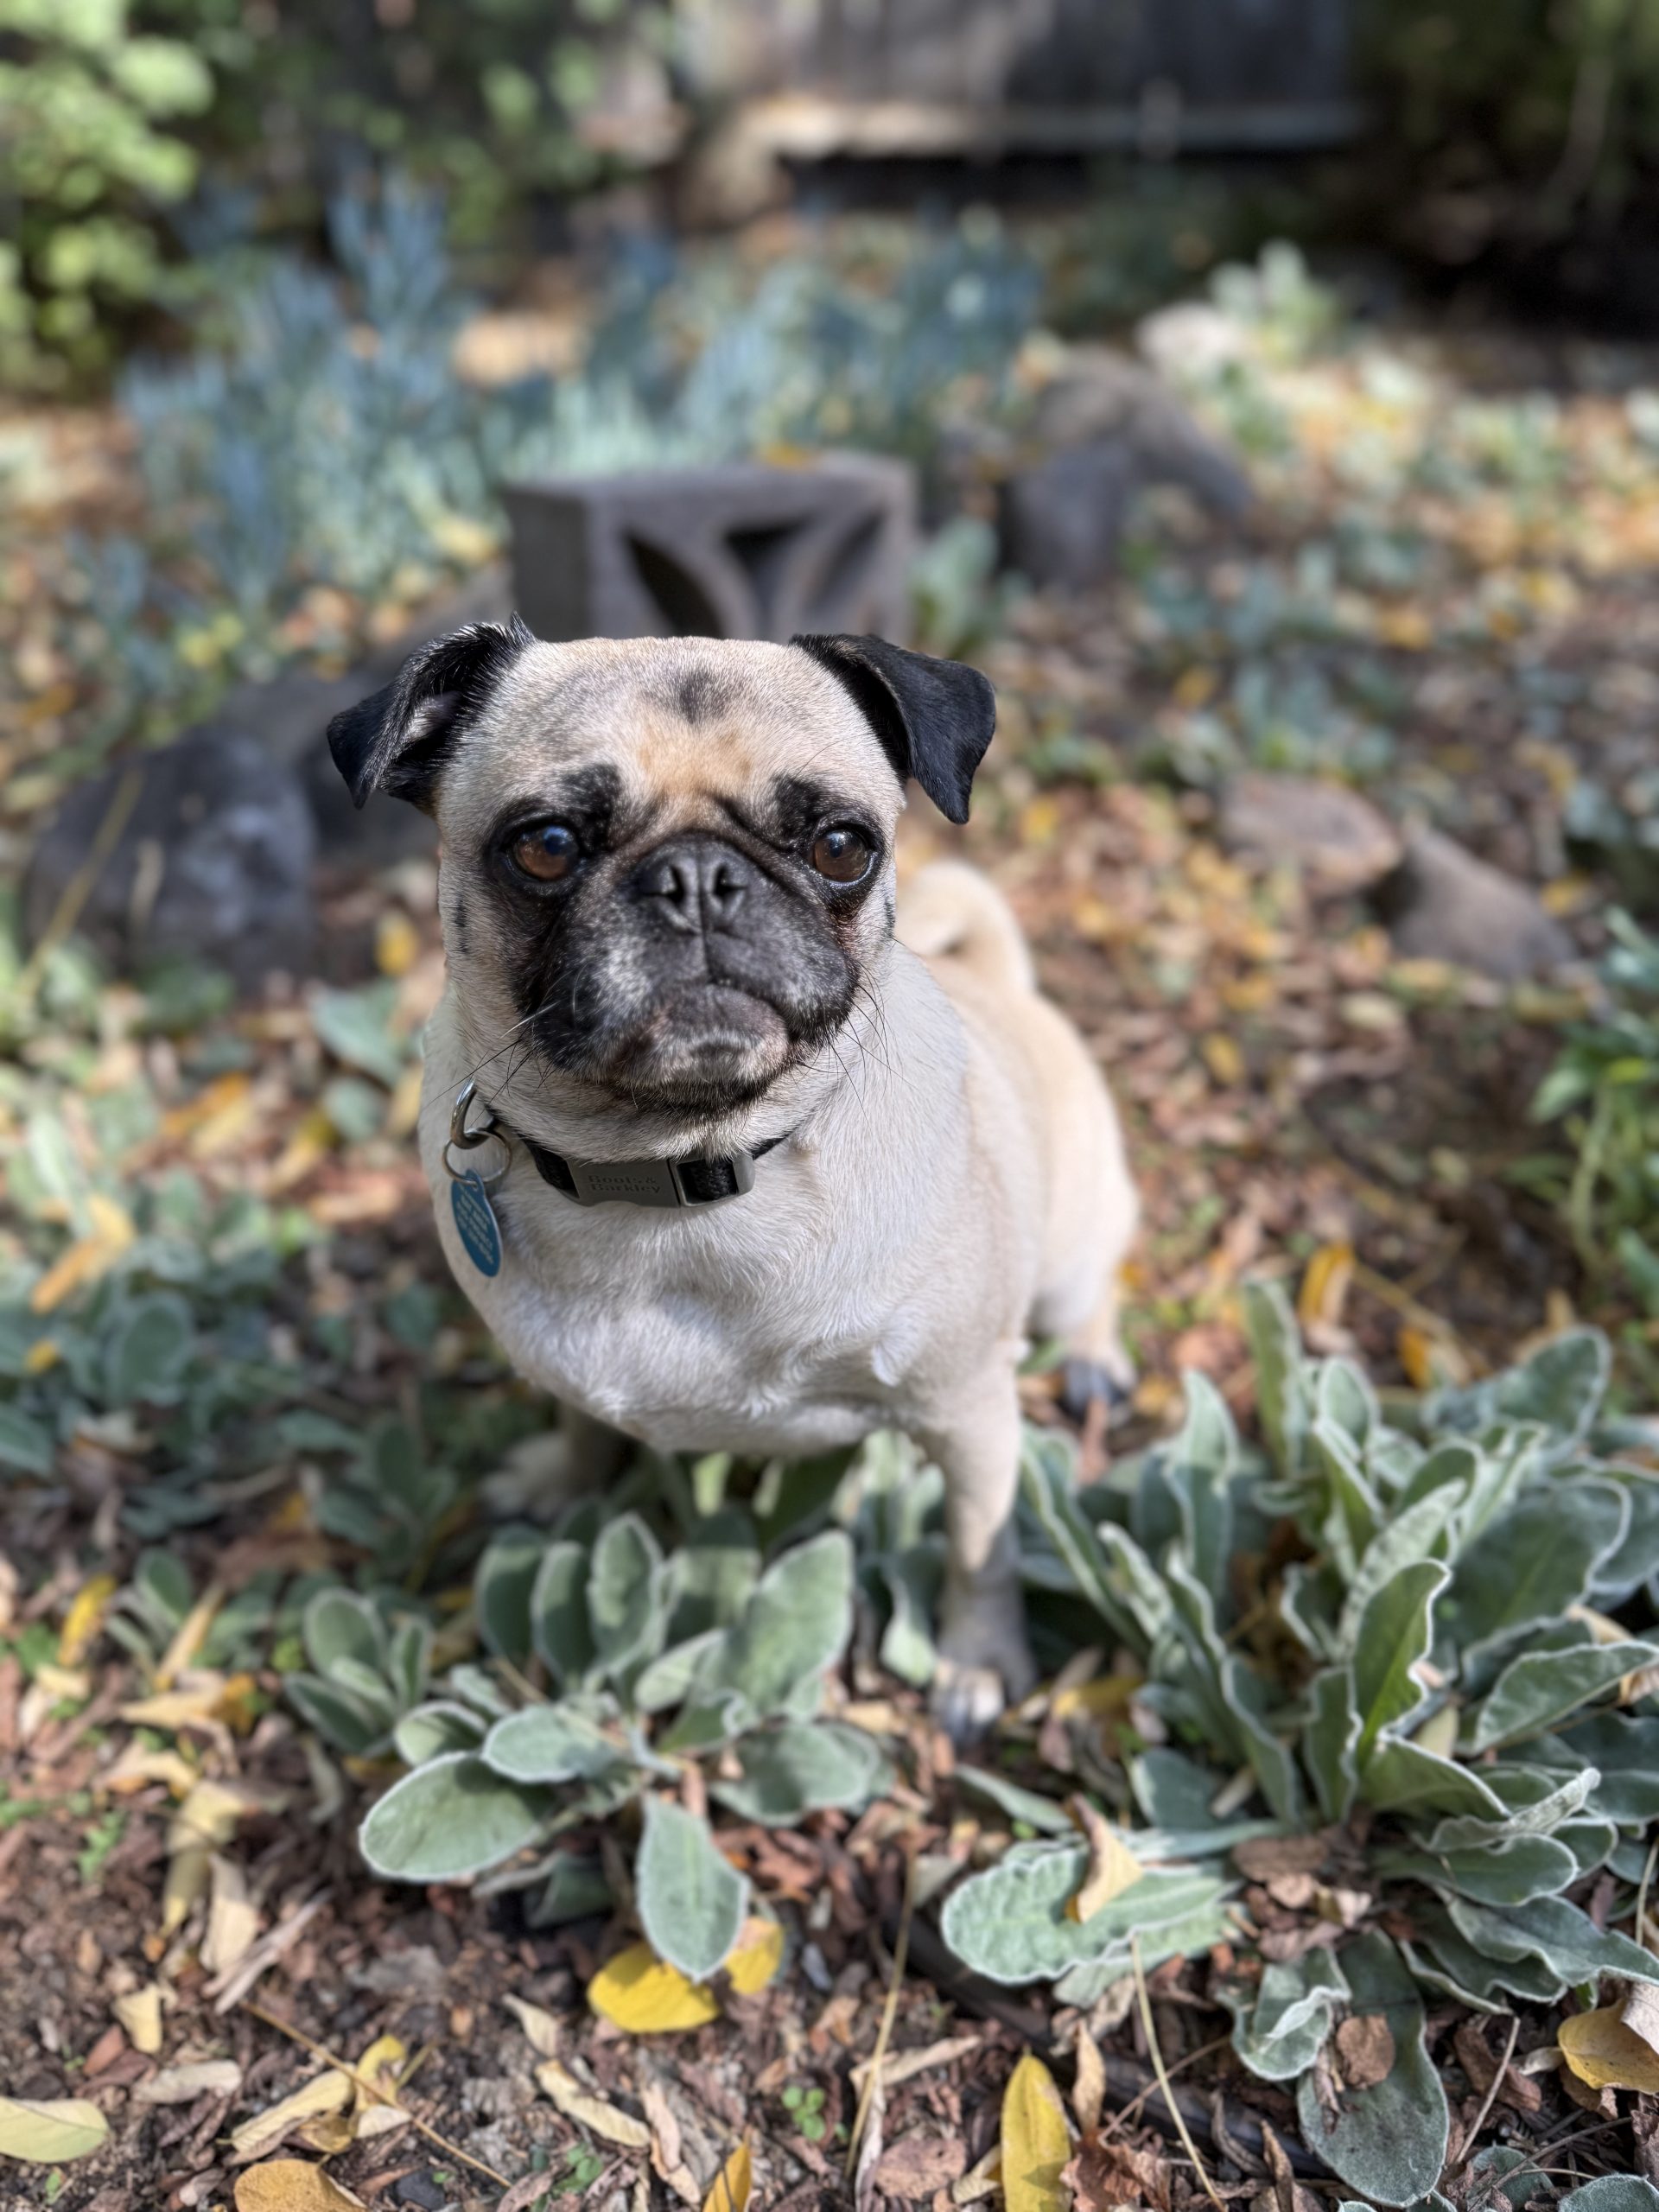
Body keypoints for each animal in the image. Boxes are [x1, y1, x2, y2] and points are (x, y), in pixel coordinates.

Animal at [328, 622, 1138, 1733]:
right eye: (546, 844)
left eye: (841, 845)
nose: (698, 877)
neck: (674, 1175)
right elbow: (582, 1424)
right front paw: (560, 1475)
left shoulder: (968, 1409)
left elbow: (982, 1548)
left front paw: (975, 1662)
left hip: (1064, 1257)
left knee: (1089, 1288)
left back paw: (1096, 1359)